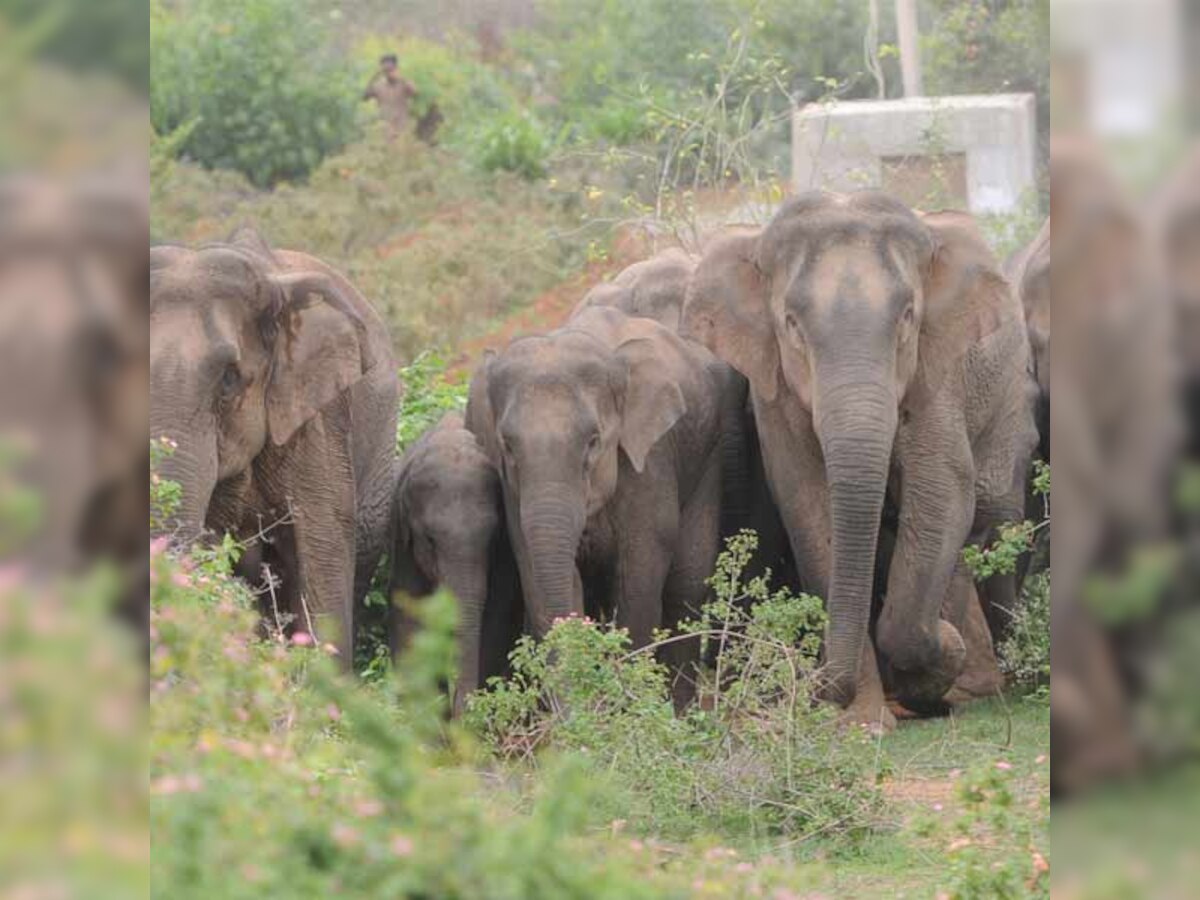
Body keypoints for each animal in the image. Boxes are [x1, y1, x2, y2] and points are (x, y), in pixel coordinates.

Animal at [391, 412, 523, 715]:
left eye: (493, 538)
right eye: (429, 540)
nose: (460, 711)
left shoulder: (505, 555)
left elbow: (495, 619)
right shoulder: (402, 545)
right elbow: (411, 621)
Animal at [465, 307, 739, 710]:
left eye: (594, 441)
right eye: (508, 445)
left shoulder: (649, 463)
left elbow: (638, 585)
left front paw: (631, 712)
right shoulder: (513, 491)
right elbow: (541, 576)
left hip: (710, 455)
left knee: (686, 583)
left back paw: (684, 713)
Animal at [686, 192, 1041, 724]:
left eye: (908, 316)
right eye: (792, 324)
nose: (813, 685)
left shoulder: (938, 372)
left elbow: (943, 488)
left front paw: (935, 663)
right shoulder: (774, 390)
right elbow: (807, 504)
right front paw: (862, 723)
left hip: (1009, 399)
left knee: (986, 513)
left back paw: (969, 685)